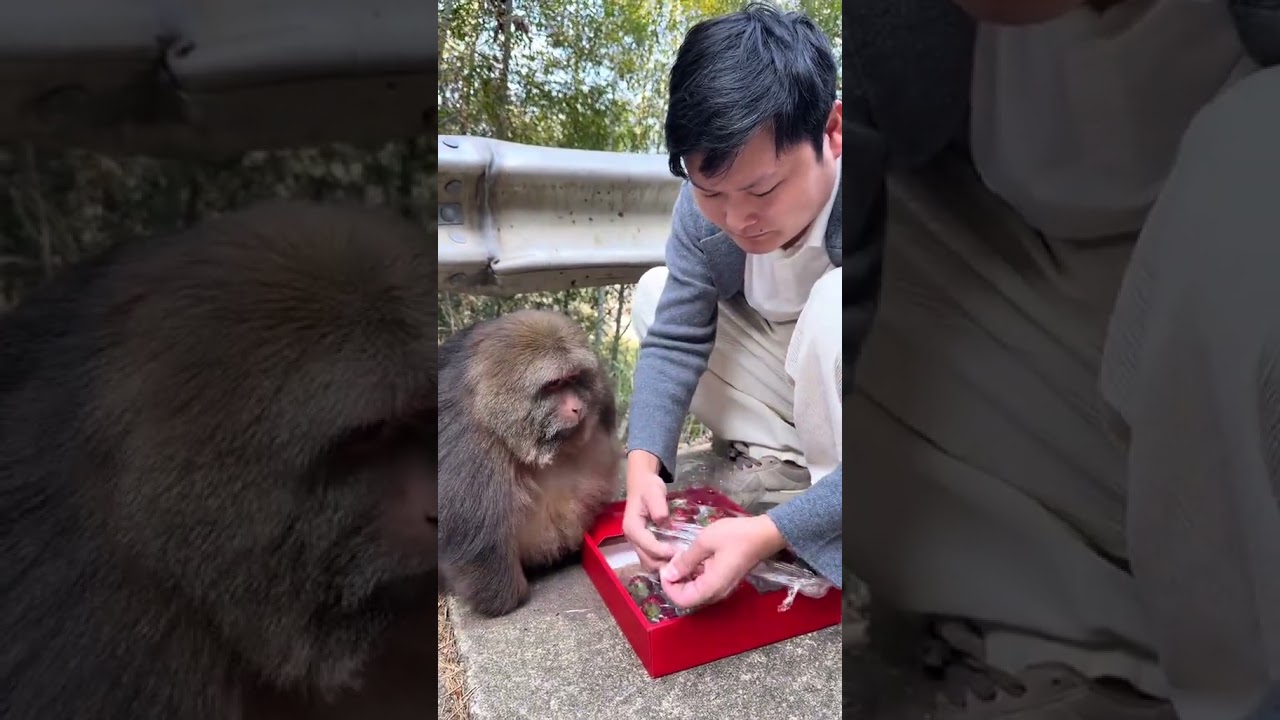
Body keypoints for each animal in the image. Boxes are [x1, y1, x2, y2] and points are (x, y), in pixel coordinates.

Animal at [437, 309, 624, 618]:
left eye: (574, 378)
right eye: (555, 384)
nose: (577, 407)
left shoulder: (603, 392)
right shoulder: (468, 441)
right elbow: (471, 530)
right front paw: (506, 598)